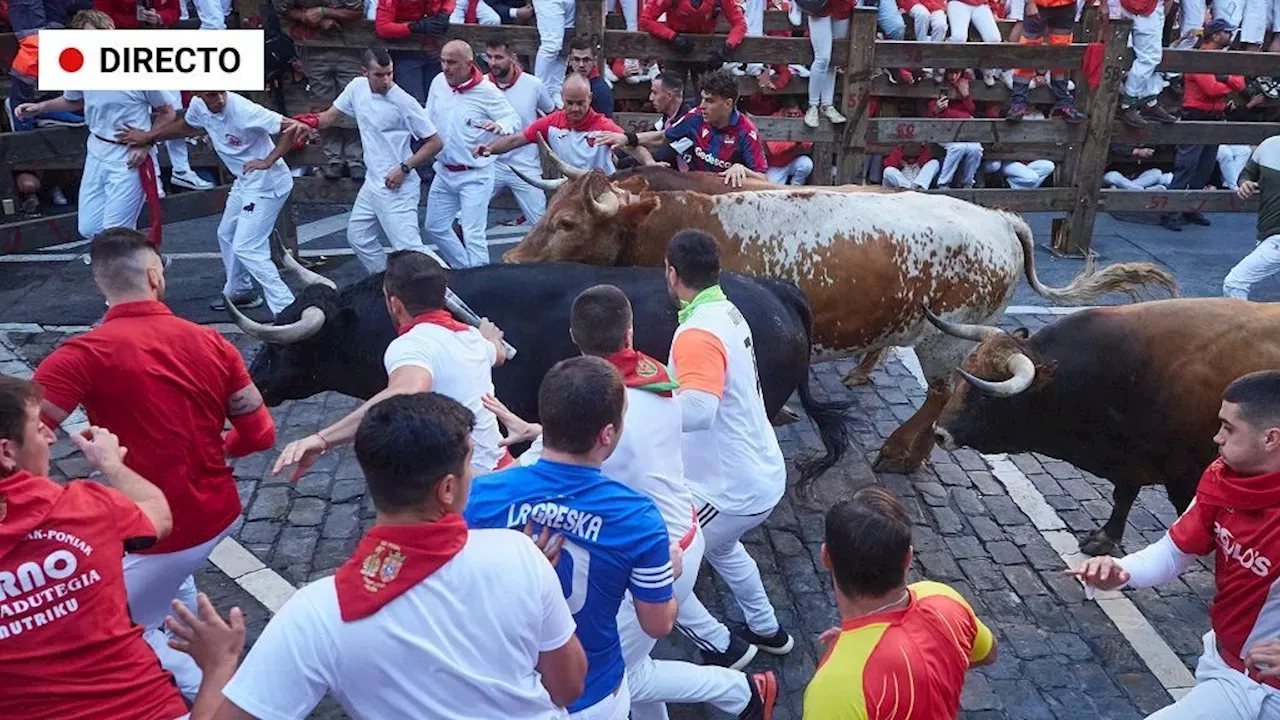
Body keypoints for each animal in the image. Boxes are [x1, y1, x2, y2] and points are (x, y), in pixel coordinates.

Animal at [501, 167, 1177, 471]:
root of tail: (999, 217)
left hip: (943, 335)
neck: (680, 222)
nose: (507, 261)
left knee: (941, 391)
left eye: (567, 222)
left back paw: (901, 452)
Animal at [926, 297, 1280, 556]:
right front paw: (1105, 538)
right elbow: (1123, 496)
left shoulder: (1186, 474)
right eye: (965, 374)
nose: (939, 433)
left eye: (986, 397)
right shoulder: (1130, 460)